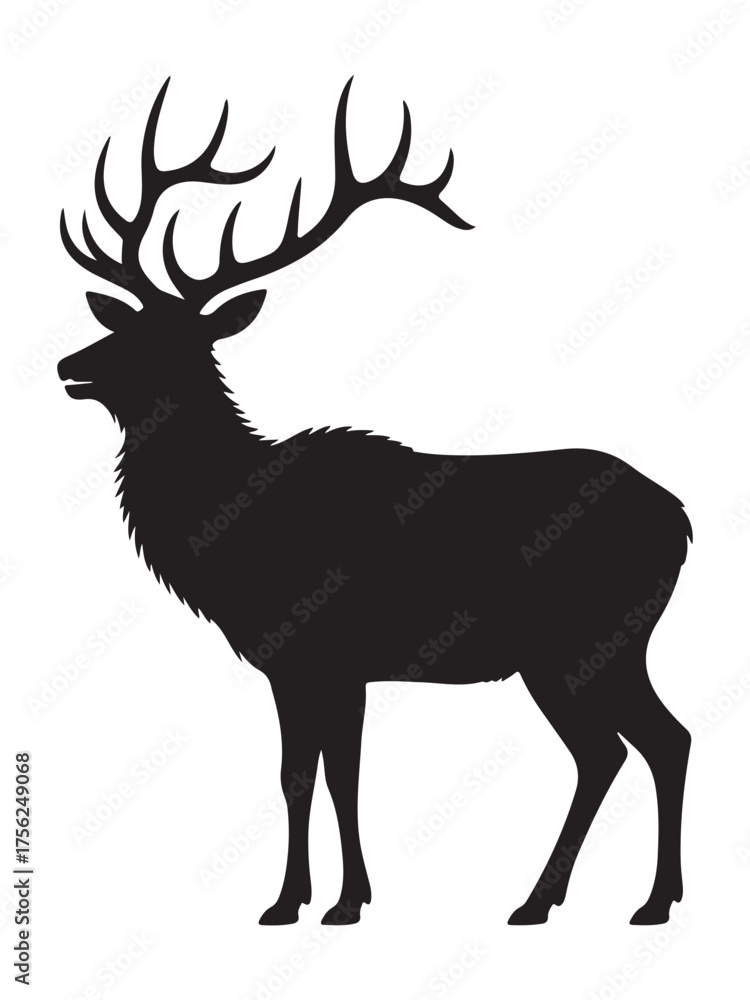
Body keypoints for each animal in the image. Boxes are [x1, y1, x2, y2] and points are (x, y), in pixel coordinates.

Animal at [58, 76, 692, 927]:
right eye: (122, 323)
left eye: (169, 340)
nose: (68, 364)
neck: (226, 533)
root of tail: (683, 522)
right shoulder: (303, 664)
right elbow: (308, 774)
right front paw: (309, 899)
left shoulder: (325, 653)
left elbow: (329, 775)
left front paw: (330, 902)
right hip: (596, 650)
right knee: (643, 744)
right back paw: (598, 899)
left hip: (584, 643)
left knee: (628, 746)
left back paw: (601, 901)